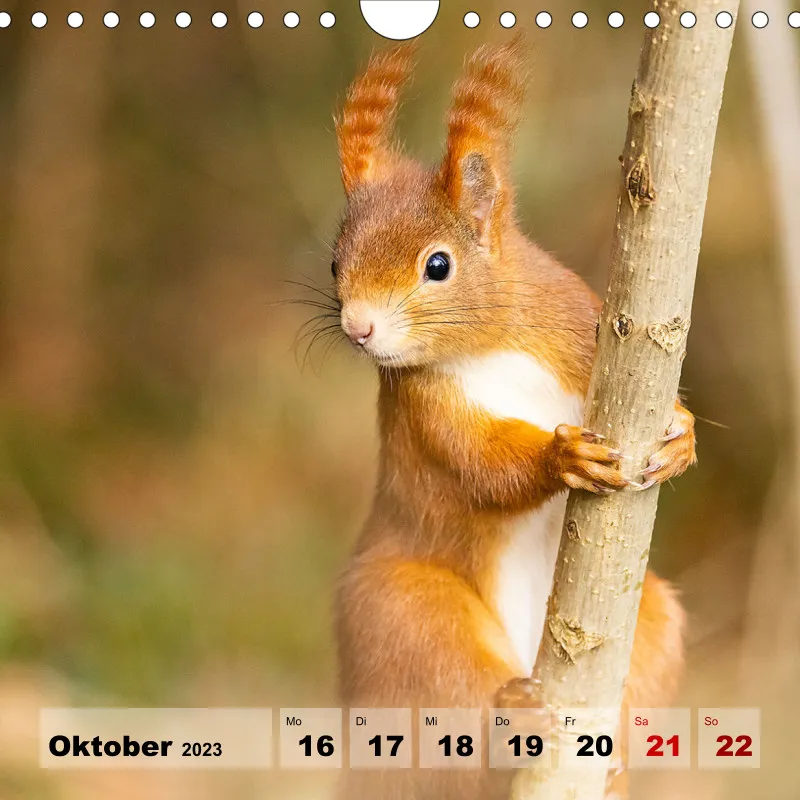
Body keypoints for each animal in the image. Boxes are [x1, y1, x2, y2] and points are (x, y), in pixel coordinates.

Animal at [328, 39, 695, 800]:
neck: (490, 343)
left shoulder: (585, 329)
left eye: (438, 265)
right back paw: (510, 722)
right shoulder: (424, 414)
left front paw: (682, 432)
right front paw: (562, 459)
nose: (358, 328)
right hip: (406, 619)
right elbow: (483, 467)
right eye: (335, 264)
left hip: (654, 622)